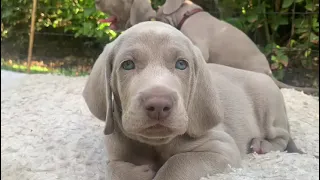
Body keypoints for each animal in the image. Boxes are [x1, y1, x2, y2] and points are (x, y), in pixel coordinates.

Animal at [82, 21, 304, 180]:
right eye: (127, 65)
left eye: (182, 64)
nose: (158, 105)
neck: (156, 144)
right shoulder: (115, 152)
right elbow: (112, 169)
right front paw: (138, 172)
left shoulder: (222, 149)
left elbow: (176, 164)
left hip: (268, 105)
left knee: (282, 137)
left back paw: (262, 145)